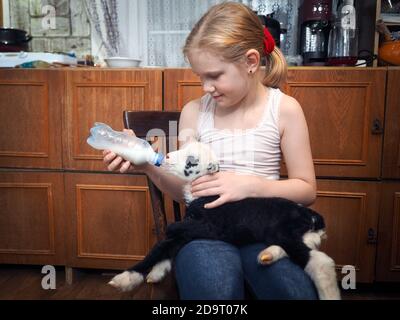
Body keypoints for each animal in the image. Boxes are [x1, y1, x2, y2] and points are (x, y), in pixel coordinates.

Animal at [108, 141, 340, 298]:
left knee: (319, 262)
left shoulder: (206, 226)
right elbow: (165, 247)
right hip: (289, 234)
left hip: (282, 230)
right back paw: (267, 255)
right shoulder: (192, 228)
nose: (166, 157)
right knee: (309, 245)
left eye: (191, 161)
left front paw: (123, 279)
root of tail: (311, 215)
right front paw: (153, 273)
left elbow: (165, 240)